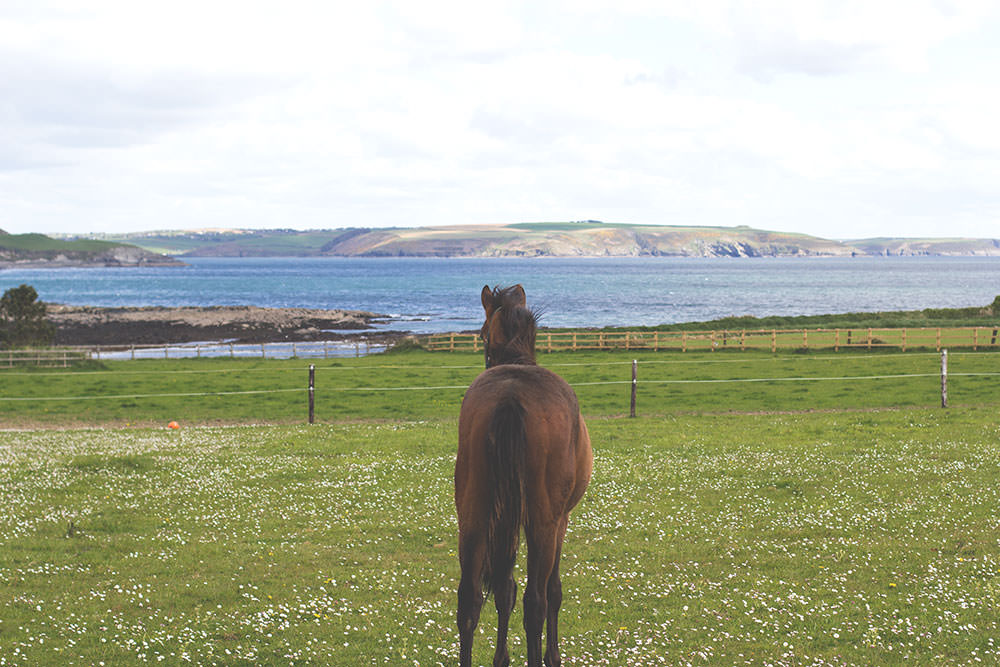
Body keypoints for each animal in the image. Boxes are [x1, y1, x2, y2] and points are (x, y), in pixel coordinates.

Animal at [456, 284, 588, 664]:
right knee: (536, 602)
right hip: (542, 523)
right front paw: (552, 654)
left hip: (473, 516)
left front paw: (501, 657)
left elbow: (503, 590)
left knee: (470, 600)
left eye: (481, 334)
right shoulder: (561, 521)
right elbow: (552, 591)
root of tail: (511, 397)